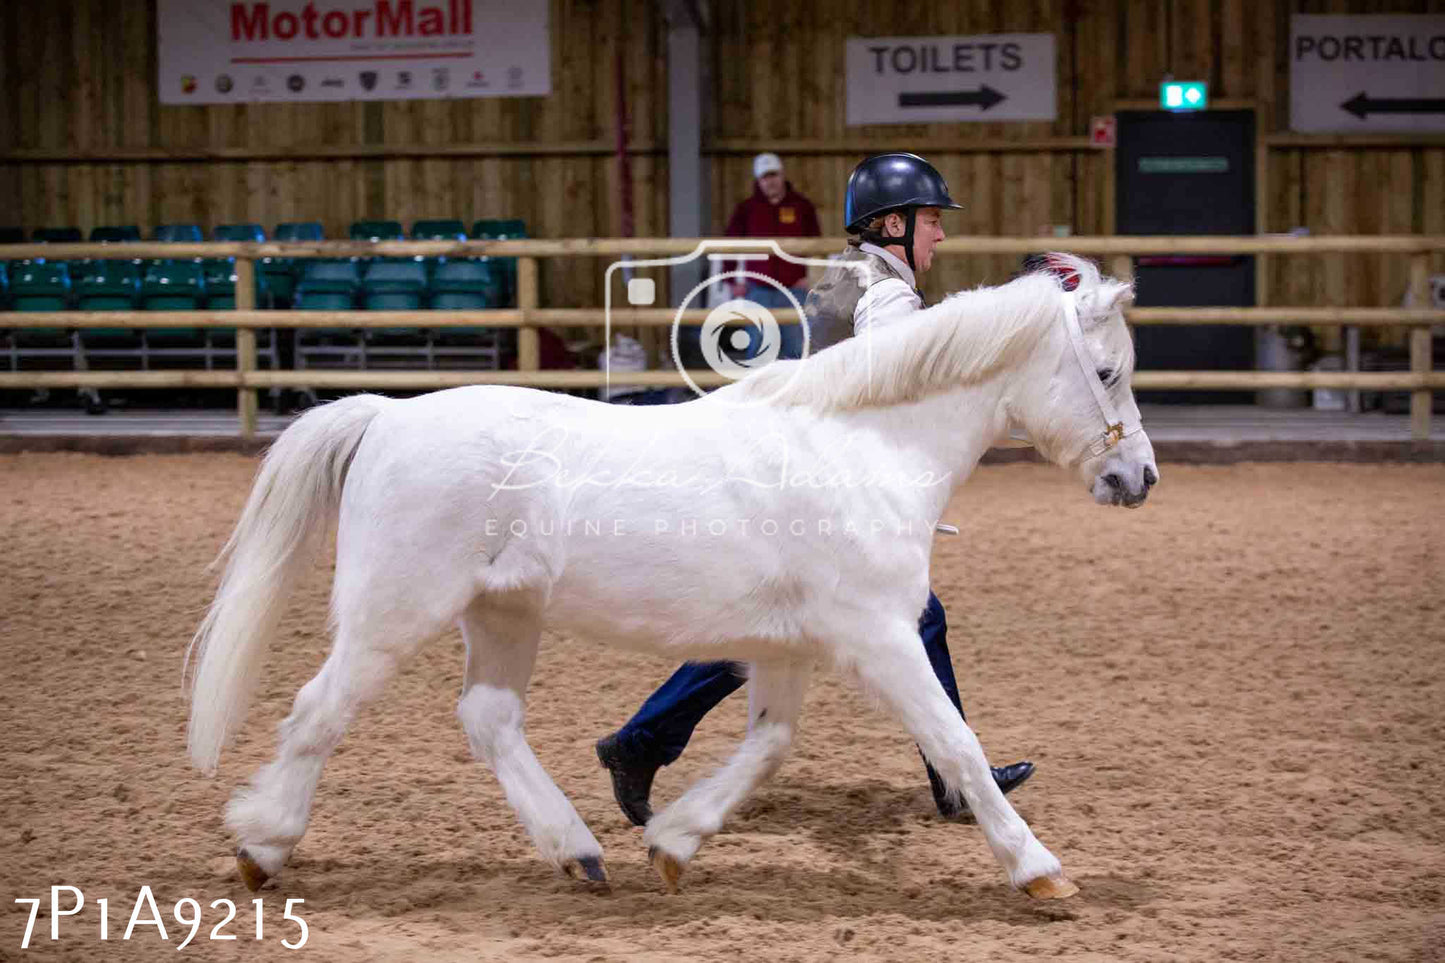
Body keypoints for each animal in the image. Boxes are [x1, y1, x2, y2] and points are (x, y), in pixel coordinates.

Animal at [186, 251, 1156, 896]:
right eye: (1107, 371)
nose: (1137, 477)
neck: (861, 446)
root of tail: (386, 415)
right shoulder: (880, 636)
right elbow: (954, 740)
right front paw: (1039, 868)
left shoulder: (790, 647)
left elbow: (767, 745)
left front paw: (673, 840)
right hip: (392, 615)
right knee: (319, 711)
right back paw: (262, 846)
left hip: (502, 613)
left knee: (489, 719)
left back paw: (578, 852)